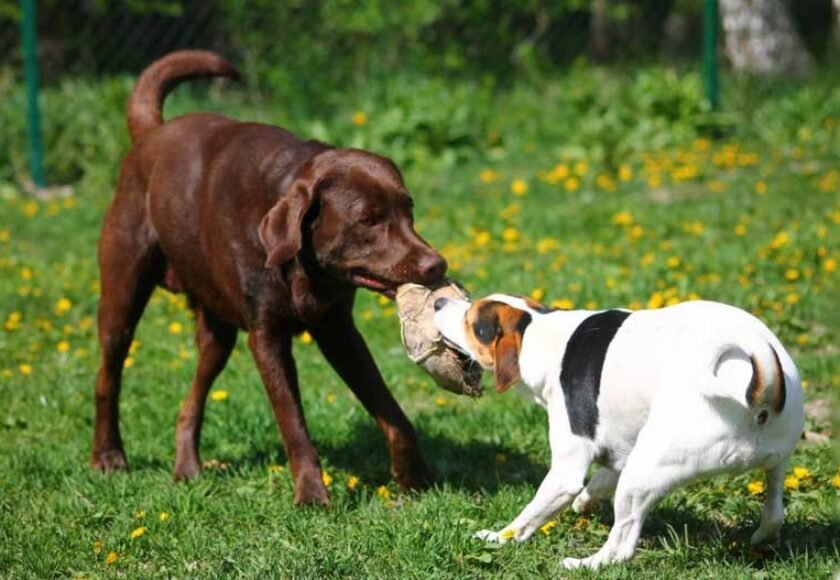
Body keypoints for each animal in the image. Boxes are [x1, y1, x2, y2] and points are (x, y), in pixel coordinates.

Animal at [92, 48, 446, 502]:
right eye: (368, 220)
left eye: (408, 209)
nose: (437, 265)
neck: (302, 268)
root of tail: (151, 132)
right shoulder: (266, 339)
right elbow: (293, 422)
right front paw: (312, 495)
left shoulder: (338, 330)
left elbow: (392, 411)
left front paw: (413, 477)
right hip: (123, 293)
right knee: (108, 376)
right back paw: (108, 456)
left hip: (218, 332)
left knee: (193, 397)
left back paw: (186, 467)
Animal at [436, 296, 804, 568]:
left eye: (471, 320)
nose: (439, 301)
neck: (541, 333)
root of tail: (761, 389)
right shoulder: (619, 448)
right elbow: (599, 480)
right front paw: (585, 502)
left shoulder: (566, 472)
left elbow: (528, 517)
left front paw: (498, 537)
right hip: (774, 462)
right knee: (775, 511)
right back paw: (762, 537)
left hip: (642, 475)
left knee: (622, 546)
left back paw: (584, 564)